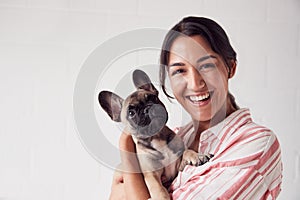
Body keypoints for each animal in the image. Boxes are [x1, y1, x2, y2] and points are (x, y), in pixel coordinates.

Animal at [98, 69, 213, 199]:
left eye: (152, 98)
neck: (157, 137)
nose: (147, 108)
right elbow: (159, 189)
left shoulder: (177, 167)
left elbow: (187, 151)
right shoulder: (151, 175)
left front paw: (197, 156)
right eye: (131, 113)